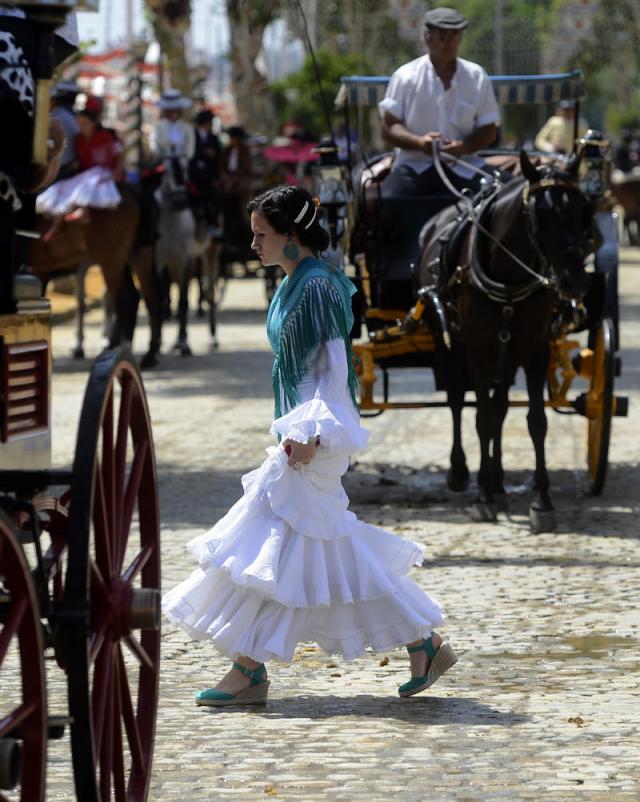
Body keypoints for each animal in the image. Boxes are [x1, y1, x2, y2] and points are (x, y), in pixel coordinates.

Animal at [30, 183, 162, 368]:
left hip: (111, 259)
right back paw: (148, 354)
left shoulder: (39, 271)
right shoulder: (42, 271)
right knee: (148, 297)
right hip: (136, 254)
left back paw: (118, 350)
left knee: (124, 299)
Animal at [418, 150, 596, 532]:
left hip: (508, 354)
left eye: (582, 210)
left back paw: (499, 484)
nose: (575, 280)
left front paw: (541, 501)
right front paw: (483, 496)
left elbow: (535, 422)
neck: (509, 276)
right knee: (458, 401)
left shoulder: (534, 348)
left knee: (499, 406)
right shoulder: (477, 347)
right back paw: (463, 473)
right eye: (540, 212)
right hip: (448, 343)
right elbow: (481, 418)